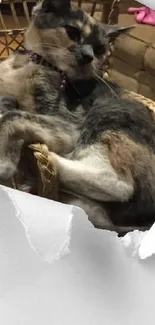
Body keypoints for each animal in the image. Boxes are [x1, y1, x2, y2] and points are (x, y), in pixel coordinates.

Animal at [0, 0, 154, 234]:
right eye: (73, 32)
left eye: (100, 49)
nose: (88, 56)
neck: (31, 64)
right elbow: (9, 106)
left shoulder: (69, 123)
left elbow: (13, 116)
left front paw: (5, 162)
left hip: (108, 112)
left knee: (119, 184)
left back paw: (45, 162)